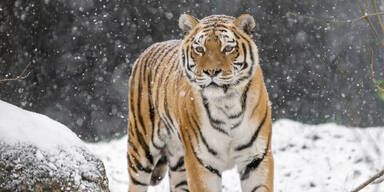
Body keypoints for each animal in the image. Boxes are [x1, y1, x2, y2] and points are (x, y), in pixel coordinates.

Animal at [127, 13, 272, 192]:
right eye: (199, 49)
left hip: (179, 162)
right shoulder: (201, 162)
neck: (227, 104)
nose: (211, 72)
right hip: (141, 147)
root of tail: (151, 47)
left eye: (228, 48)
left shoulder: (256, 159)